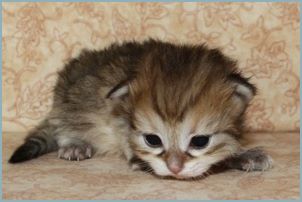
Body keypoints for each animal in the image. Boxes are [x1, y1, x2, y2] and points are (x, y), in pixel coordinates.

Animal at [8, 39, 272, 180]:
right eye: (153, 140)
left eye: (200, 141)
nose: (174, 168)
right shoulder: (116, 113)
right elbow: (126, 137)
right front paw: (139, 160)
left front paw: (243, 155)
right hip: (71, 100)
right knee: (65, 125)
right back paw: (75, 144)